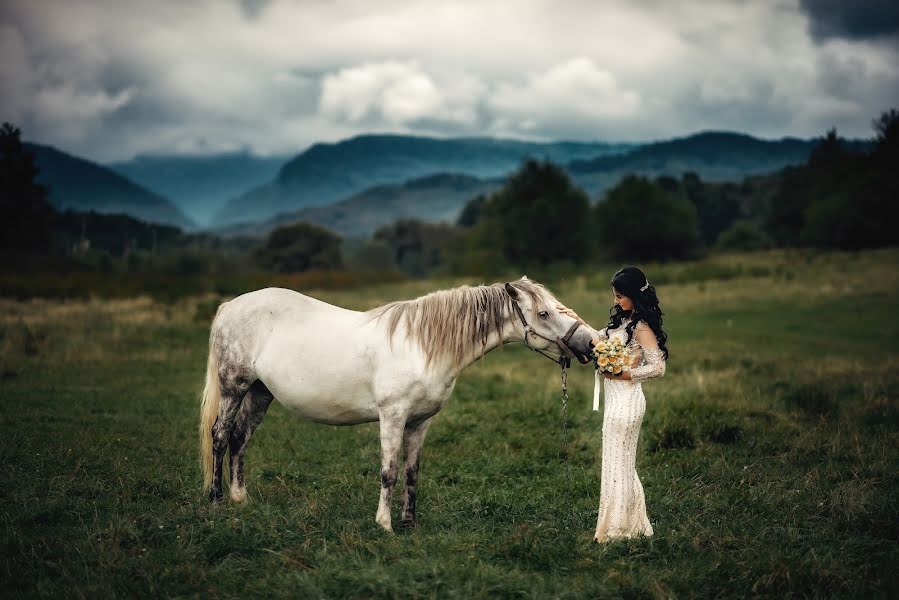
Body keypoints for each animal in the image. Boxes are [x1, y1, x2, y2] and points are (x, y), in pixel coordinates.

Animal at [204, 276, 596, 528]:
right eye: (544, 314)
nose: (591, 343)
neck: (421, 344)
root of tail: (229, 306)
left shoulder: (420, 421)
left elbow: (411, 471)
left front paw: (410, 523)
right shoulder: (392, 416)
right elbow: (388, 470)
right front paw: (385, 525)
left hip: (260, 392)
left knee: (240, 438)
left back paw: (241, 498)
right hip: (234, 387)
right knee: (221, 435)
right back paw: (215, 500)